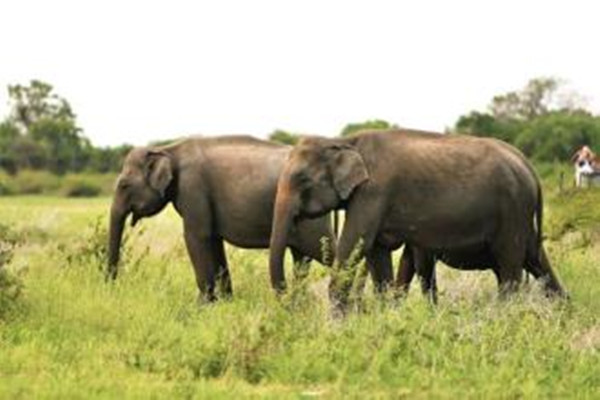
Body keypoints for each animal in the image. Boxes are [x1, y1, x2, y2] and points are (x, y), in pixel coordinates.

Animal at [106, 134, 332, 300]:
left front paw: (202, 307)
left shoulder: (192, 188)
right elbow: (214, 241)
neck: (168, 148)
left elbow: (196, 238)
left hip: (314, 221)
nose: (112, 286)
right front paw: (227, 303)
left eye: (124, 185)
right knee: (301, 259)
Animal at [268, 130, 568, 310]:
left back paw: (504, 316)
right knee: (536, 261)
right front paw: (383, 316)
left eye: (302, 180)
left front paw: (339, 323)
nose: (288, 305)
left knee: (509, 268)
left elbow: (355, 245)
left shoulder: (373, 193)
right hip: (521, 215)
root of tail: (528, 165)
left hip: (512, 209)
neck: (345, 141)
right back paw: (564, 312)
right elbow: (377, 254)